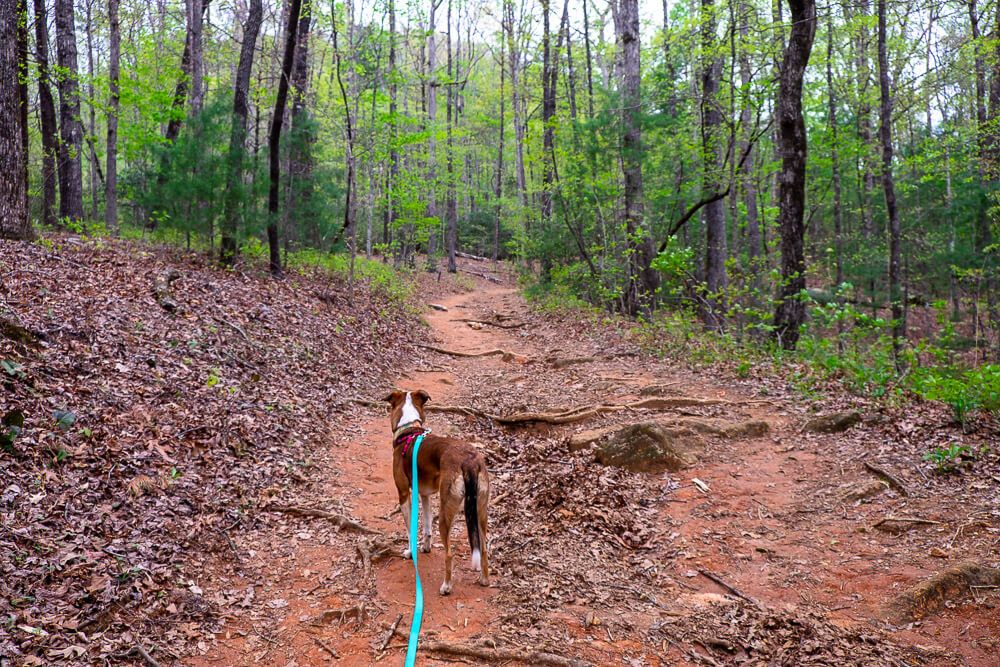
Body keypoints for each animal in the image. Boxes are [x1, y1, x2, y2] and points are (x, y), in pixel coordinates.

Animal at [384, 388, 490, 596]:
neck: (409, 429)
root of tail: (469, 461)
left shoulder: (404, 494)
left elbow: (410, 530)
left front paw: (410, 552)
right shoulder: (425, 494)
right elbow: (426, 526)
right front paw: (425, 547)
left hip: (446, 511)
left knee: (449, 553)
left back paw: (446, 586)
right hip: (480, 511)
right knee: (483, 547)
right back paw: (484, 579)